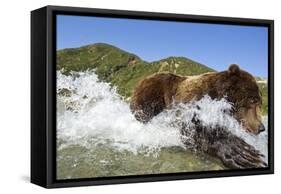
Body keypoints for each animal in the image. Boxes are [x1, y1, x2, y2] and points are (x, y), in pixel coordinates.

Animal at [129, 64, 264, 169]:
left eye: (259, 102)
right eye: (253, 100)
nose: (261, 127)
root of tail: (142, 79)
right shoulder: (192, 99)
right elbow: (189, 126)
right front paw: (242, 153)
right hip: (155, 90)